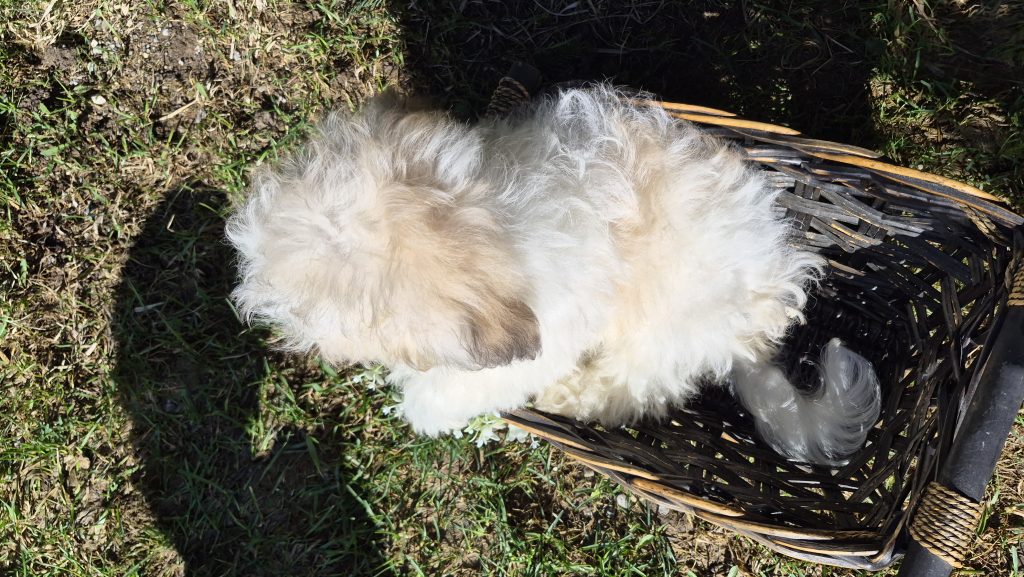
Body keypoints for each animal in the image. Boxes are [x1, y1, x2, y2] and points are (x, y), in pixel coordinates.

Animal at [227, 85, 881, 466]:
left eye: (313, 314)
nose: (254, 306)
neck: (491, 222)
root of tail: (751, 338)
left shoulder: (549, 334)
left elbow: (462, 386)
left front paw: (423, 405)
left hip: (658, 337)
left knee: (631, 391)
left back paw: (569, 396)